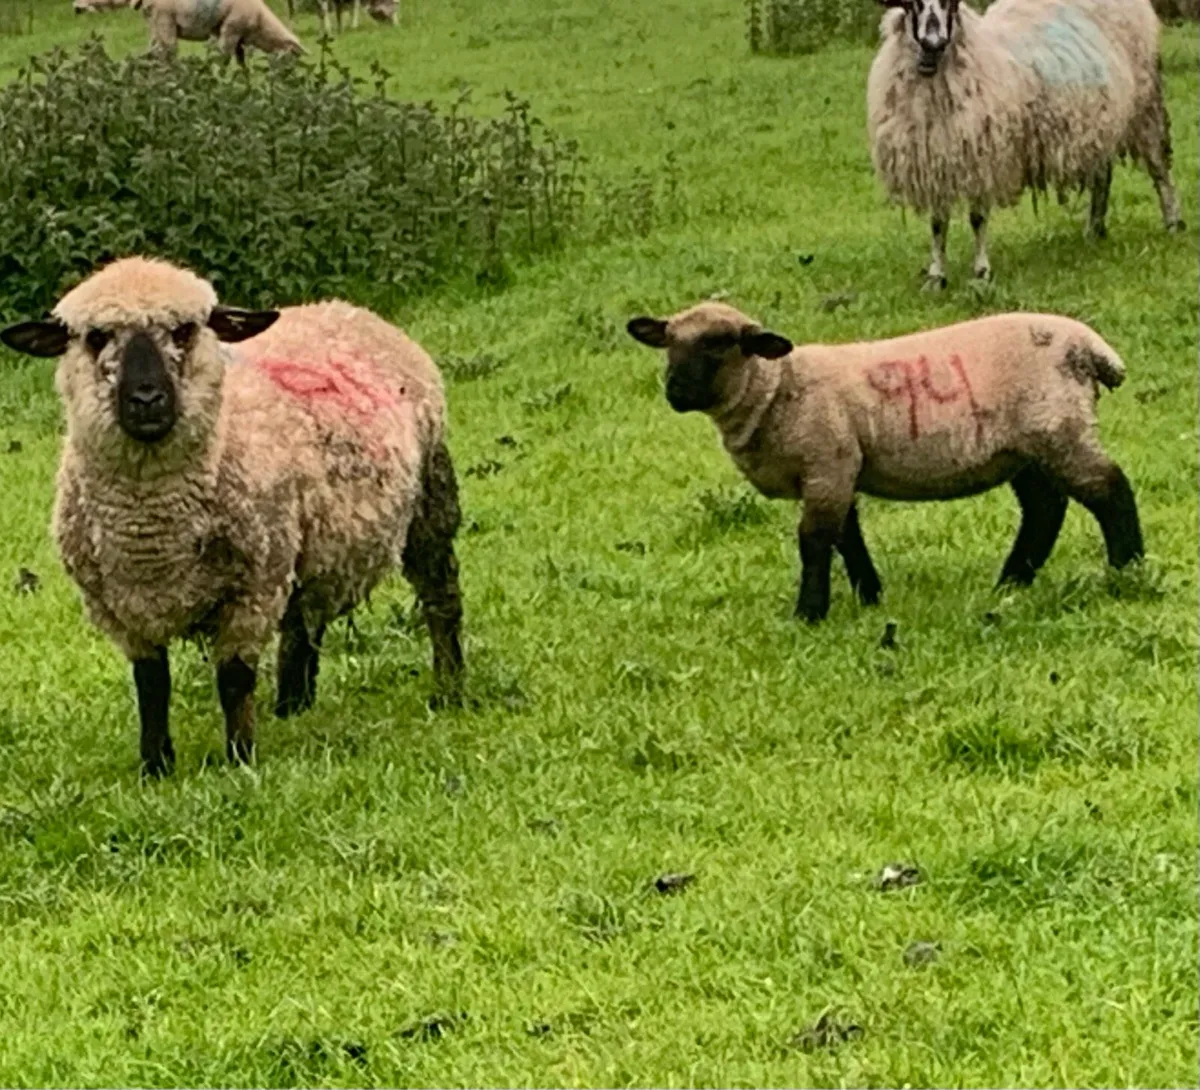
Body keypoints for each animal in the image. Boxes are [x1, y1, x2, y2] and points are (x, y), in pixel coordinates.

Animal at [0, 257, 463, 775]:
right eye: (97, 336)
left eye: (184, 330)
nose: (147, 400)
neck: (153, 529)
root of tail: (346, 308)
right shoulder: (120, 608)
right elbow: (151, 685)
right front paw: (155, 767)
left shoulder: (252, 589)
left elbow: (234, 679)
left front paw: (240, 758)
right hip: (310, 542)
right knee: (306, 617)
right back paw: (292, 706)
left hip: (427, 495)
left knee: (440, 596)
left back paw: (449, 690)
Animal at [627, 301, 1143, 623]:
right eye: (669, 342)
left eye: (720, 343)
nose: (675, 392)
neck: (777, 388)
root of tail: (1092, 349)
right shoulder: (840, 470)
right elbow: (847, 536)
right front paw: (870, 596)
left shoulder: (827, 464)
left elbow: (815, 540)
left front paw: (809, 613)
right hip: (1024, 448)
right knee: (1044, 507)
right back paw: (1011, 582)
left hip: (1058, 427)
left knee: (1109, 490)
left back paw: (1128, 571)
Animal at [867, 0, 1184, 288]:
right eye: (913, 4)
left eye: (950, 4)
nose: (934, 43)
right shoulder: (936, 161)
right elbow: (937, 224)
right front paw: (936, 276)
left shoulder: (985, 157)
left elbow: (977, 218)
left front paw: (981, 273)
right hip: (1100, 121)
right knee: (1103, 176)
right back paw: (1094, 229)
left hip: (1145, 103)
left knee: (1158, 166)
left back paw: (1173, 223)